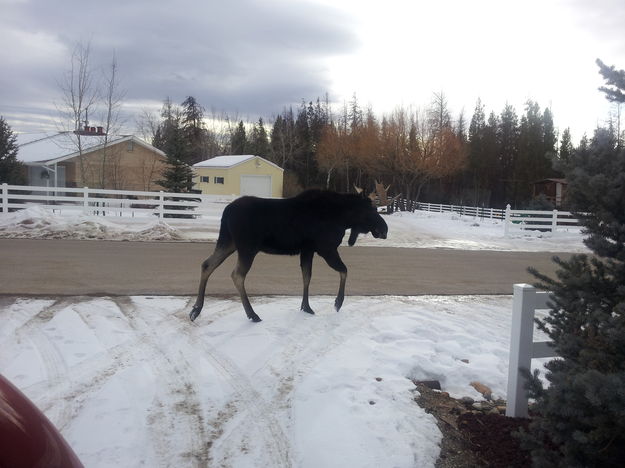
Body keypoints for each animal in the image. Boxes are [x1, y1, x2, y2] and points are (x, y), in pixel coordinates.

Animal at [188, 189, 388, 322]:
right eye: (371, 210)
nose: (384, 229)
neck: (343, 219)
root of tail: (226, 212)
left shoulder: (307, 250)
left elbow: (306, 277)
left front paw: (306, 307)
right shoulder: (326, 248)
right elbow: (344, 270)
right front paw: (338, 302)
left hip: (228, 242)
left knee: (207, 264)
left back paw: (196, 309)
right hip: (247, 247)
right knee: (237, 275)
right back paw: (252, 314)